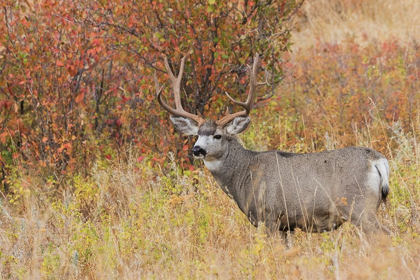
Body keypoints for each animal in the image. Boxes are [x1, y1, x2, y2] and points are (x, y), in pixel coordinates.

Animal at [154, 53, 390, 238]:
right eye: (196, 135)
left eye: (218, 135)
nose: (197, 150)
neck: (243, 174)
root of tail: (377, 160)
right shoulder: (286, 226)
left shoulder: (269, 217)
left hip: (359, 206)